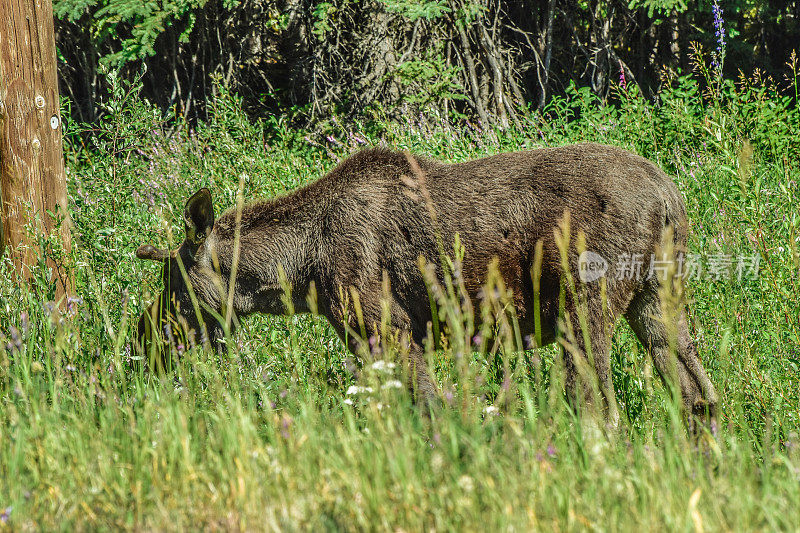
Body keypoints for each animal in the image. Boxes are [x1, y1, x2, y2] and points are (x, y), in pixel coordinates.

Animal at [136, 142, 720, 428]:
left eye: (173, 285)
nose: (147, 337)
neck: (303, 274)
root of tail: (671, 198)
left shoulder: (386, 325)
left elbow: (430, 409)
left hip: (585, 299)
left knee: (600, 403)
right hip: (657, 296)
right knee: (699, 393)